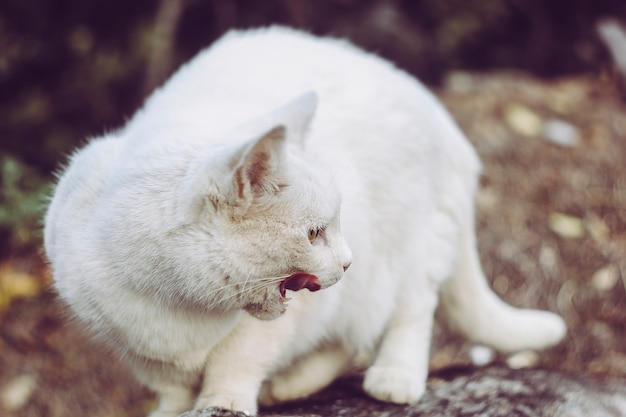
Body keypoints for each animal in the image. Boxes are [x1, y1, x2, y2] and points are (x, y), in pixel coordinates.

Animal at [45, 26, 564, 416]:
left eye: (329, 227)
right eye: (314, 233)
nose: (348, 260)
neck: (177, 301)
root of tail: (439, 113)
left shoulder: (273, 327)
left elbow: (236, 362)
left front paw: (224, 401)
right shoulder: (133, 345)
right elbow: (170, 386)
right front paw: (175, 409)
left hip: (407, 247)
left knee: (409, 310)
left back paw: (391, 377)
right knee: (351, 339)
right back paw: (293, 385)